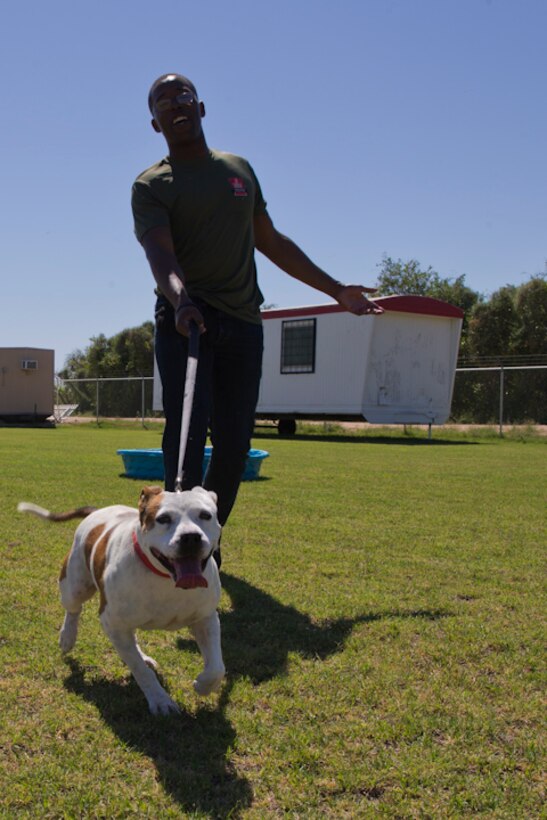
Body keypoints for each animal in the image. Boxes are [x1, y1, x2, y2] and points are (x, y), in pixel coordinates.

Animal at [18, 484, 225, 716]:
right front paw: (160, 699)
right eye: (163, 519)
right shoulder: (113, 622)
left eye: (205, 515)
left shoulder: (206, 619)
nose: (190, 537)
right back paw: (67, 637)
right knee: (73, 609)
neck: (165, 577)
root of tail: (97, 511)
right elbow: (139, 670)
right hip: (75, 585)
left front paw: (203, 685)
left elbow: (217, 667)